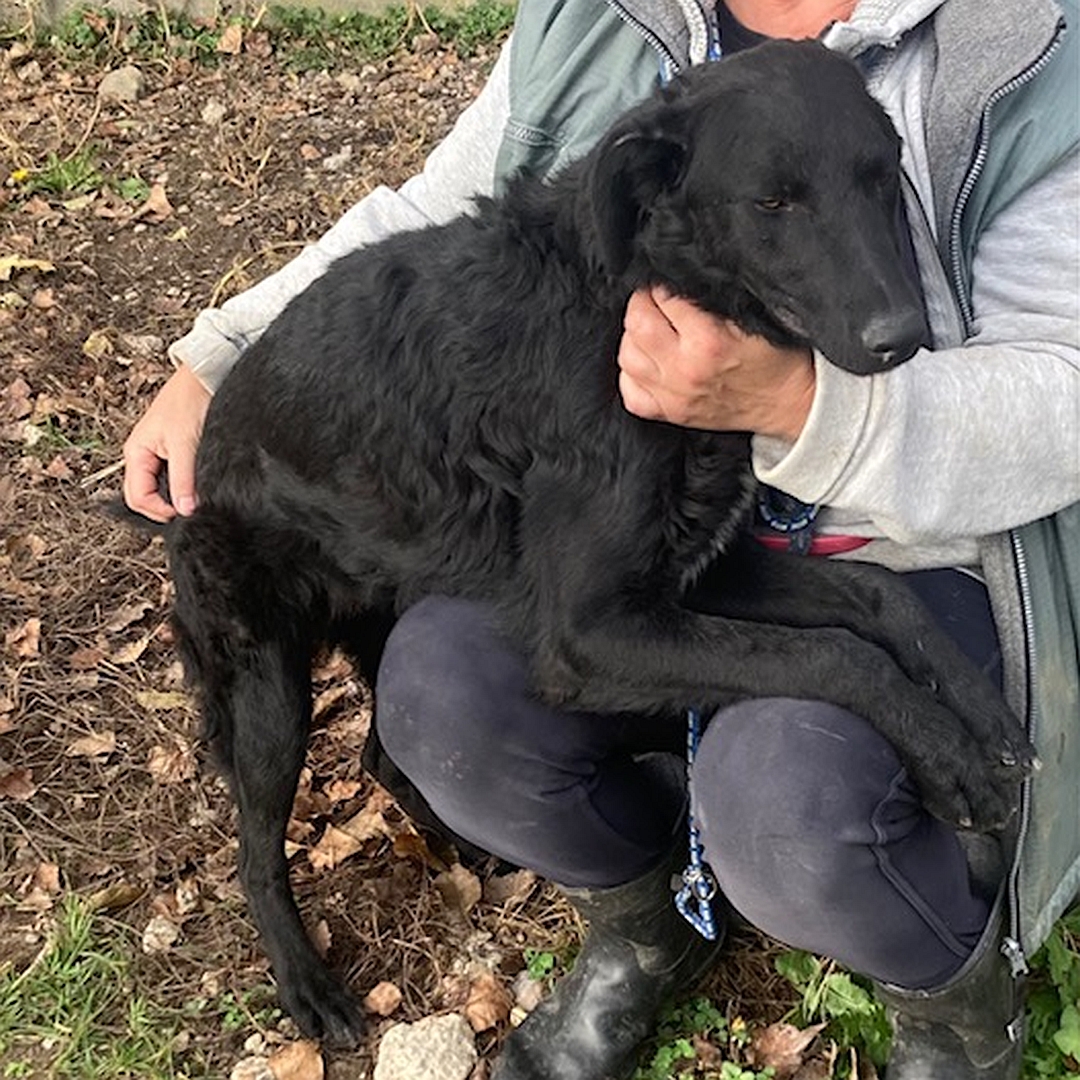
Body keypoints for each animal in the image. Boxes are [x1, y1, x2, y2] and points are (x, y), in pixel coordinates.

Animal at [156, 42, 1032, 1045]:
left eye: (882, 176)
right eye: (773, 202)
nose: (905, 340)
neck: (628, 293)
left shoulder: (700, 575)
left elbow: (881, 599)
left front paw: (981, 715)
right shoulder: (594, 632)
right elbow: (837, 656)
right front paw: (945, 751)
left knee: (381, 755)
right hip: (266, 687)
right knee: (255, 849)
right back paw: (307, 986)